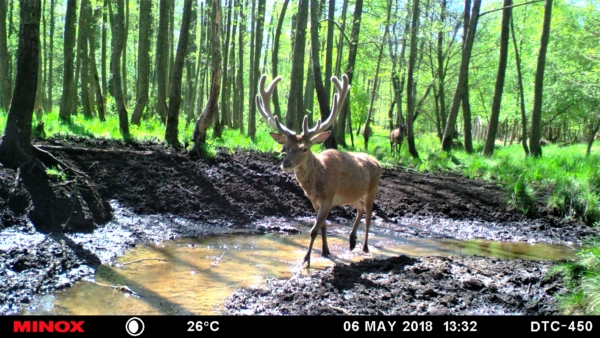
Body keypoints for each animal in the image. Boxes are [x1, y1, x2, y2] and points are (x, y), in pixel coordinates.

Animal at [255, 73, 382, 266]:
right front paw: (325, 251)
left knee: (369, 214)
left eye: (304, 148)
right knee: (360, 208)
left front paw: (306, 260)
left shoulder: (328, 198)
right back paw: (352, 240)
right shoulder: (314, 201)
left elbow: (314, 229)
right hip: (352, 196)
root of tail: (378, 162)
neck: (317, 183)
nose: (286, 164)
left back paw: (365, 246)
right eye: (286, 146)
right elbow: (322, 226)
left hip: (372, 188)